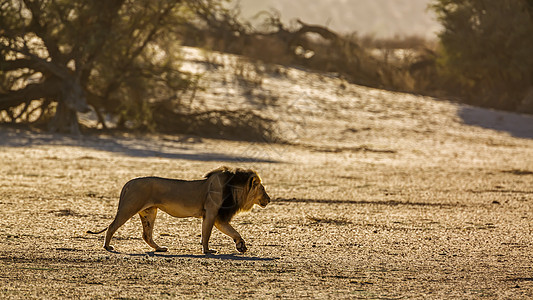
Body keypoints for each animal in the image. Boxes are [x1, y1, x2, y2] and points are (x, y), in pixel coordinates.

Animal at [88, 166, 270, 253]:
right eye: (262, 189)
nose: (269, 199)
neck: (234, 188)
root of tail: (128, 183)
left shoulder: (217, 216)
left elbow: (232, 231)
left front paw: (241, 245)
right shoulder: (212, 212)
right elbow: (207, 234)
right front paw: (207, 250)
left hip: (149, 212)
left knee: (146, 235)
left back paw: (160, 248)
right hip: (129, 207)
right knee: (112, 226)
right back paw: (107, 247)